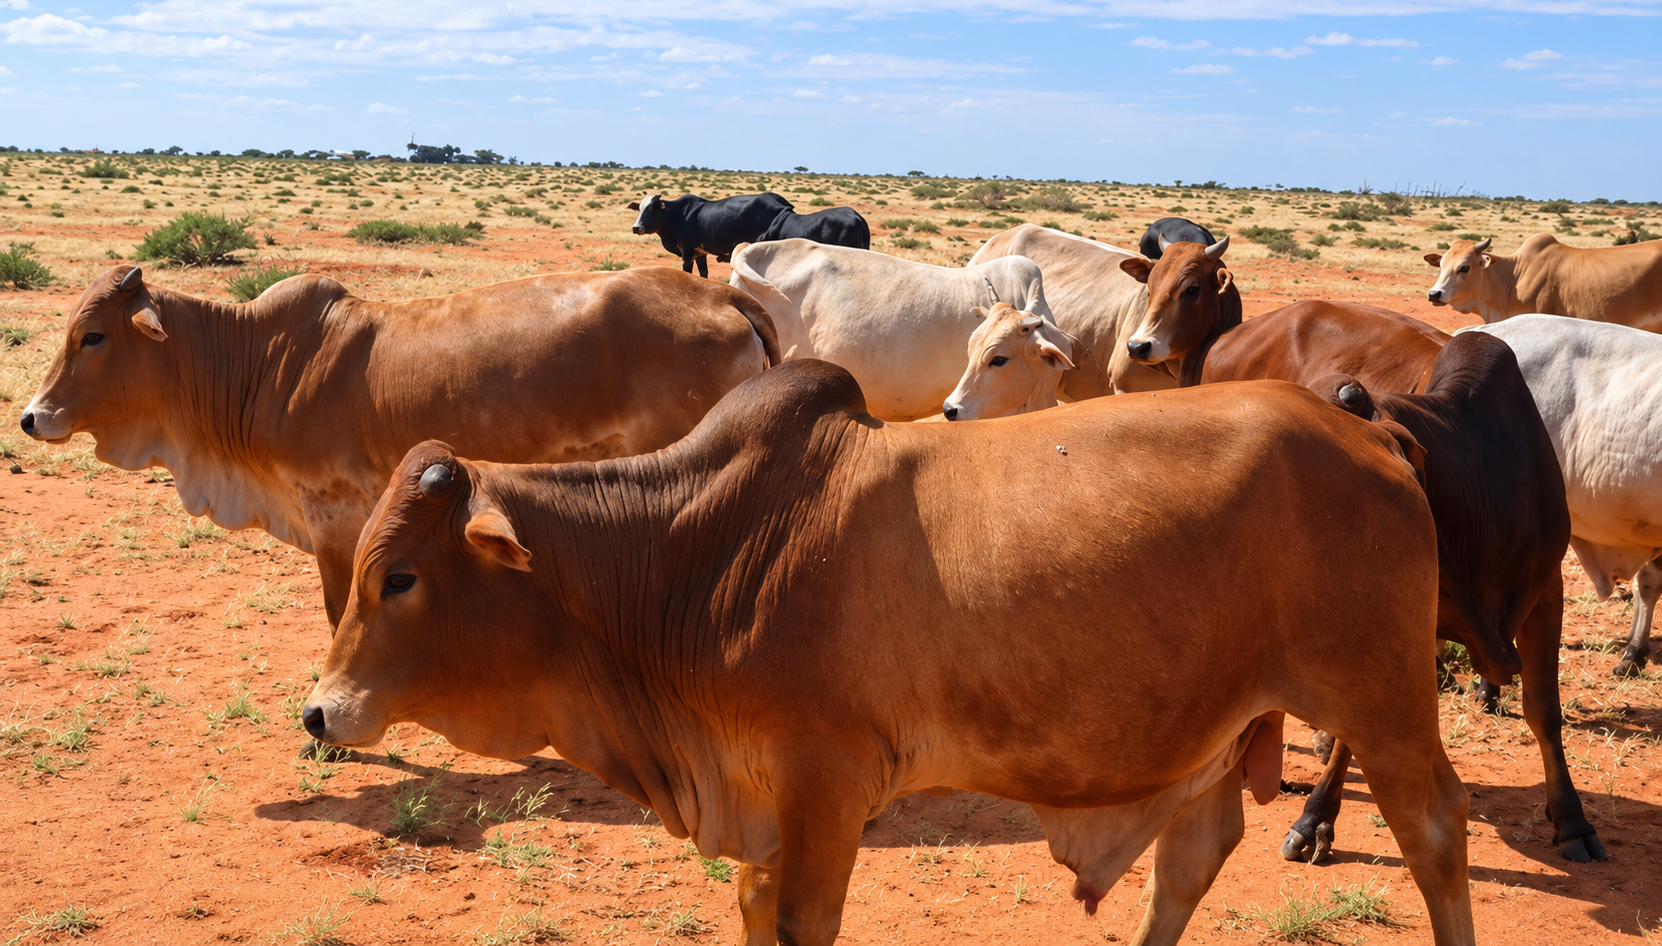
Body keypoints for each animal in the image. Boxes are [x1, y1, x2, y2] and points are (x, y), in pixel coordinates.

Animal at [19, 264, 779, 626]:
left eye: (93, 335)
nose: (31, 417)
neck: (260, 364)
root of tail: (724, 297)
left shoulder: (332, 518)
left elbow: (339, 611)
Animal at [304, 361, 1475, 946]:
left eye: (398, 576)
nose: (320, 711)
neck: (700, 549)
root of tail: (1370, 433)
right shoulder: (765, 800)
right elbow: (754, 914)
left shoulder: (827, 787)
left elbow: (803, 925)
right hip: (1219, 727)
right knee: (1193, 857)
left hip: (1382, 703)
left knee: (1435, 835)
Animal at [629, 192, 796, 277]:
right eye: (640, 208)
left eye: (651, 209)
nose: (636, 228)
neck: (679, 215)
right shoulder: (700, 253)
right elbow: (704, 273)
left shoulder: (687, 251)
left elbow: (687, 271)